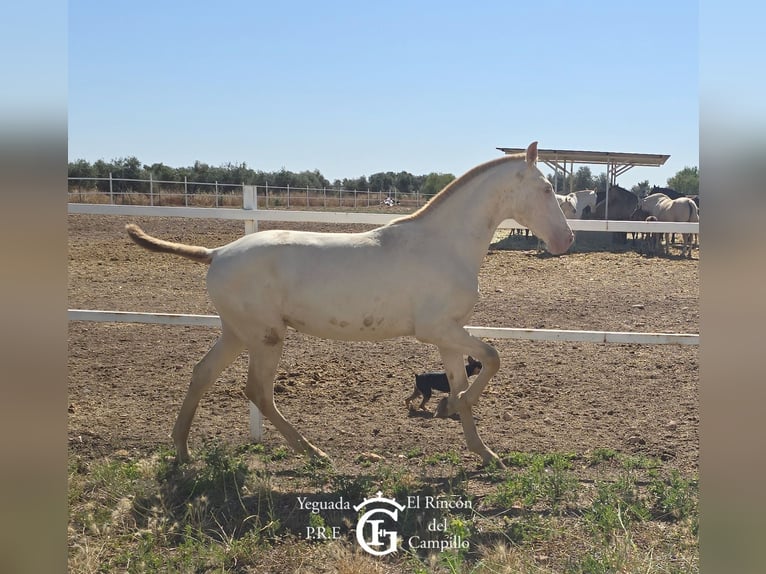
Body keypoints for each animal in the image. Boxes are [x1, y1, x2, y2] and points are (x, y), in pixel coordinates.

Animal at [126, 141, 572, 468]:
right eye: (547, 189)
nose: (566, 240)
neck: (445, 246)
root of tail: (216, 253)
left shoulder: (449, 336)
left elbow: (466, 382)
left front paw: (482, 449)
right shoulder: (437, 330)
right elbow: (493, 357)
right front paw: (449, 409)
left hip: (237, 333)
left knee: (203, 374)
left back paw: (183, 451)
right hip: (265, 336)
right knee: (257, 391)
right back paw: (314, 453)